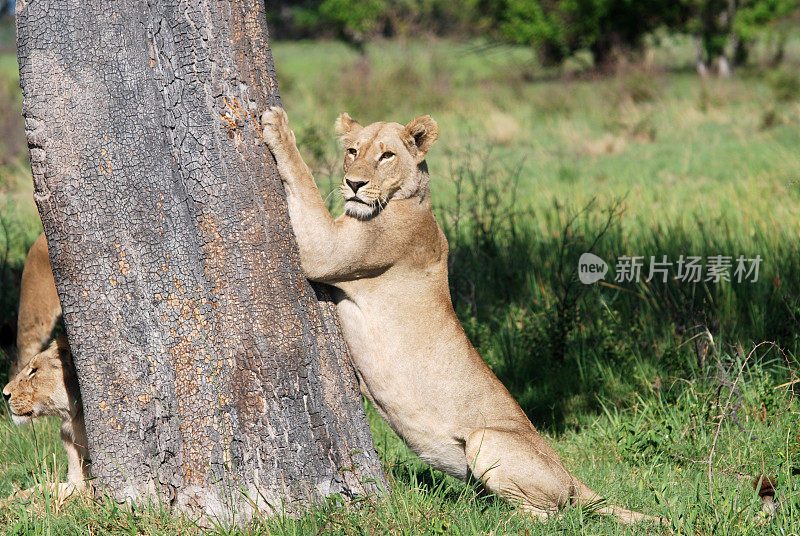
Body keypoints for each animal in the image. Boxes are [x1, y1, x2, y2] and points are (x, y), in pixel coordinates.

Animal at [260, 105, 660, 524]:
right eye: (353, 151)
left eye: (386, 156)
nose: (353, 183)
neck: (413, 200)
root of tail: (570, 475)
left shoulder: (326, 250)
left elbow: (304, 179)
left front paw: (278, 125)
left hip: (489, 440)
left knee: (554, 515)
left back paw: (490, 517)